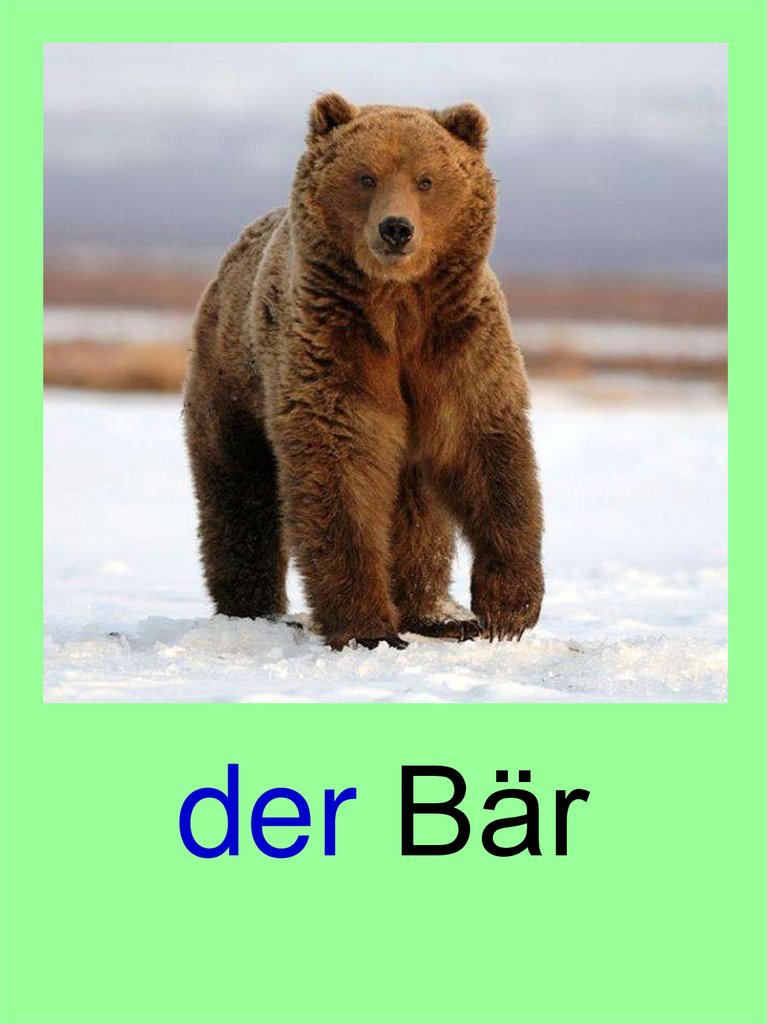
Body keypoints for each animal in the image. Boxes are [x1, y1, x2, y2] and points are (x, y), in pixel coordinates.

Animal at [184, 93, 544, 650]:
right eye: (365, 176)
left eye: (425, 179)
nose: (396, 228)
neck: (397, 305)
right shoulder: (334, 344)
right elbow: (342, 466)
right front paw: (367, 627)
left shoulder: (454, 341)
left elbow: (486, 449)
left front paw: (507, 608)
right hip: (231, 380)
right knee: (238, 488)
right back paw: (254, 608)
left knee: (418, 508)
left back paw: (437, 613)